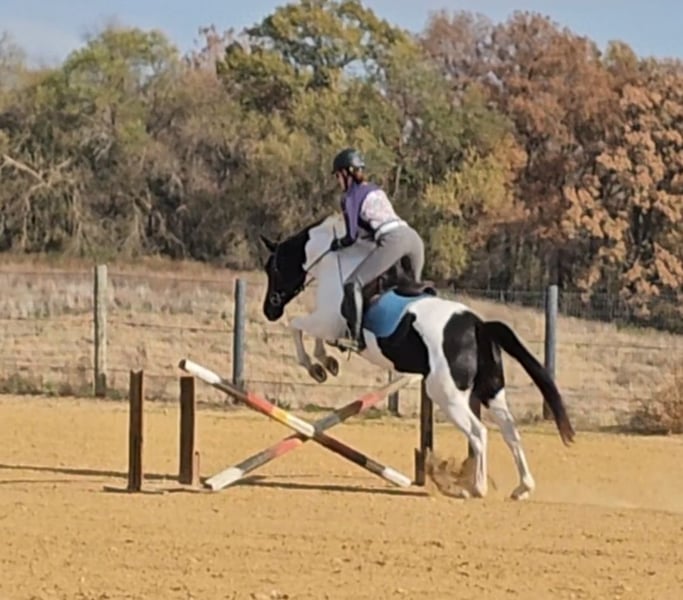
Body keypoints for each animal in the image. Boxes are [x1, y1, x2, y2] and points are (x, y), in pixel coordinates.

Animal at [259, 213, 575, 499]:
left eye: (272, 268)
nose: (269, 310)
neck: (335, 261)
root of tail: (478, 325)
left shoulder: (327, 320)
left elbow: (297, 326)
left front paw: (316, 367)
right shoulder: (328, 324)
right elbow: (311, 336)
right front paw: (327, 363)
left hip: (446, 394)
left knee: (479, 433)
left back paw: (475, 488)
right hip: (490, 390)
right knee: (510, 431)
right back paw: (523, 488)